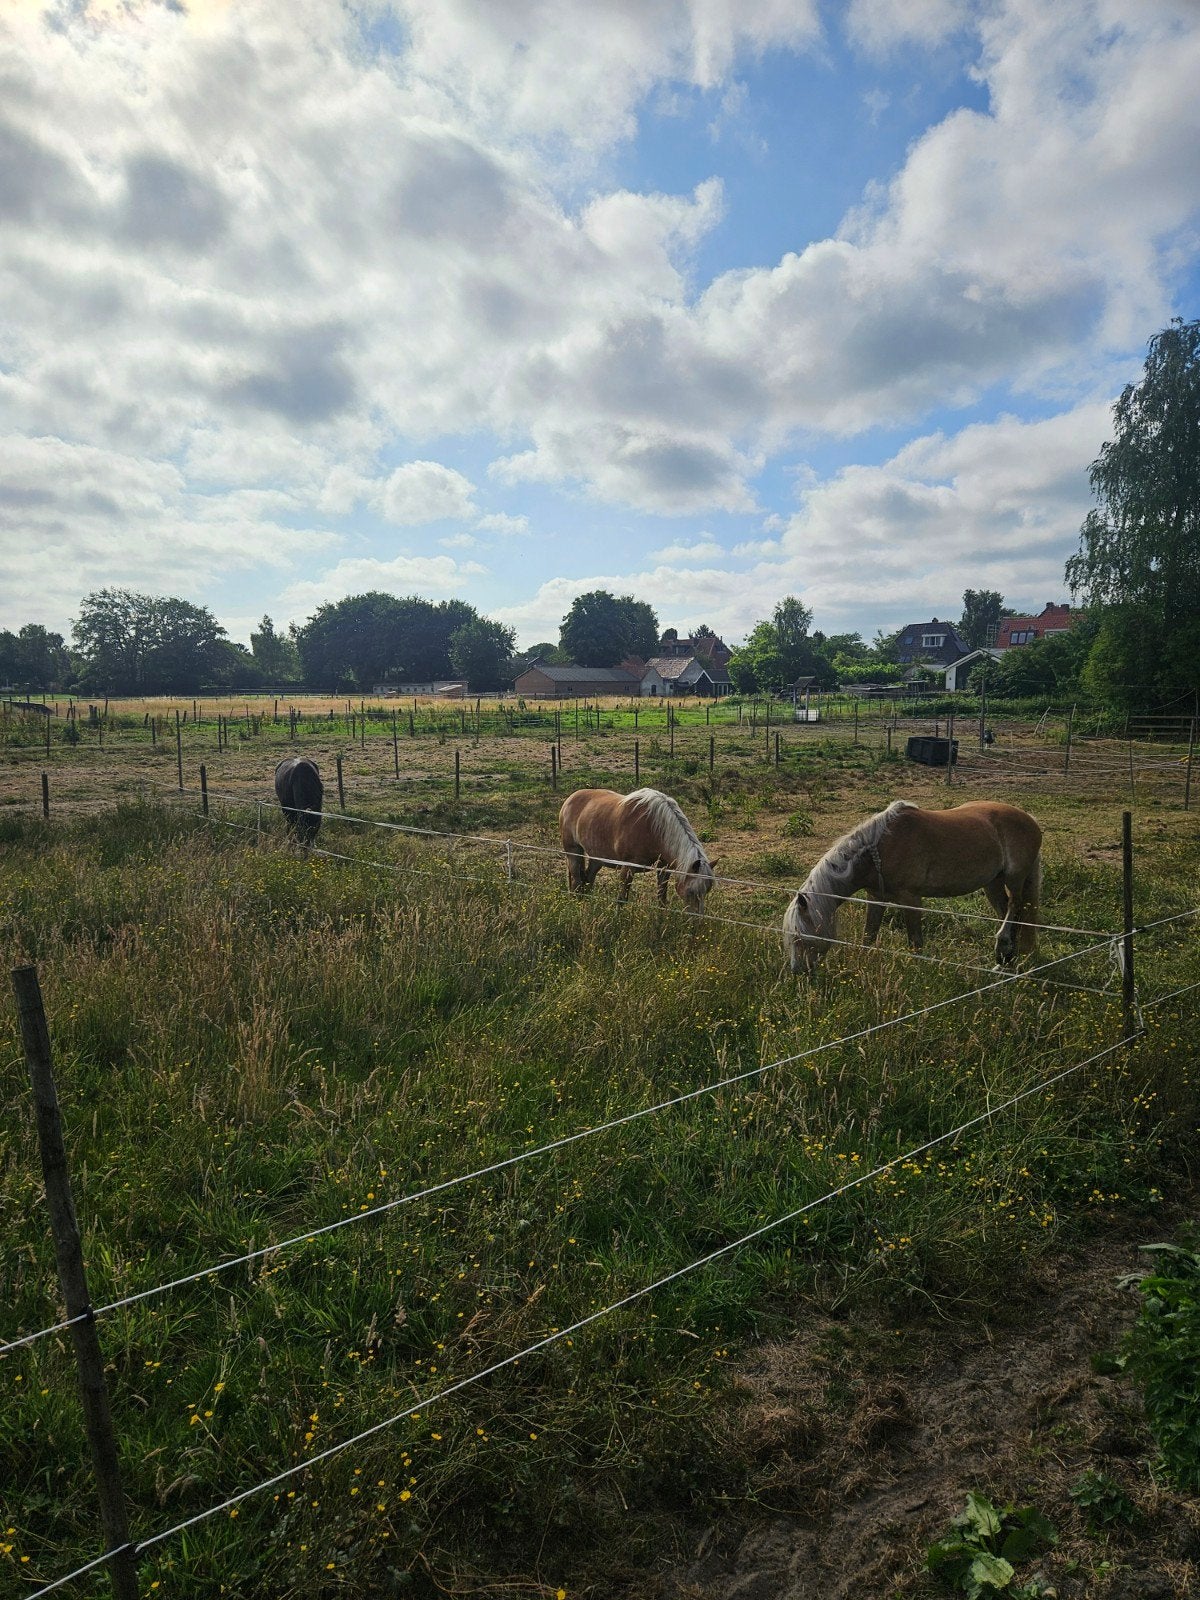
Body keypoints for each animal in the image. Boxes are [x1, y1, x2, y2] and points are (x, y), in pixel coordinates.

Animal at [558, 786, 716, 913]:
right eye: (691, 891)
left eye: (707, 890)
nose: (696, 921)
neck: (654, 828)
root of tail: (570, 799)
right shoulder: (628, 868)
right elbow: (621, 899)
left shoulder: (663, 869)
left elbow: (661, 900)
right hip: (573, 852)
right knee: (577, 881)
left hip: (597, 858)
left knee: (588, 879)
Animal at [782, 799, 1042, 974]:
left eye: (800, 936)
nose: (798, 972)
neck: (880, 850)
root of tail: (1031, 819)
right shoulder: (876, 898)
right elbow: (869, 936)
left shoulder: (911, 900)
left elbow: (915, 943)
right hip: (992, 882)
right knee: (1008, 910)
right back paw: (1007, 960)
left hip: (1014, 877)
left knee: (1015, 907)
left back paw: (1002, 949)